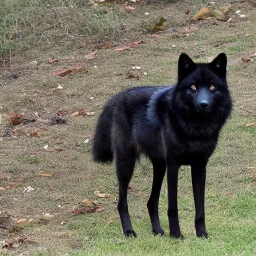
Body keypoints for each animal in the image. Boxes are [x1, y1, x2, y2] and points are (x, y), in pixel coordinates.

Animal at [92, 53, 232, 239]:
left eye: (212, 87)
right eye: (193, 87)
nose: (203, 104)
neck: (195, 128)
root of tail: (118, 96)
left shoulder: (200, 167)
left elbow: (200, 207)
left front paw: (202, 234)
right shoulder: (173, 165)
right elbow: (173, 206)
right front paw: (176, 235)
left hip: (159, 167)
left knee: (151, 202)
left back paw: (157, 230)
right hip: (126, 165)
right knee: (122, 203)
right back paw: (129, 231)